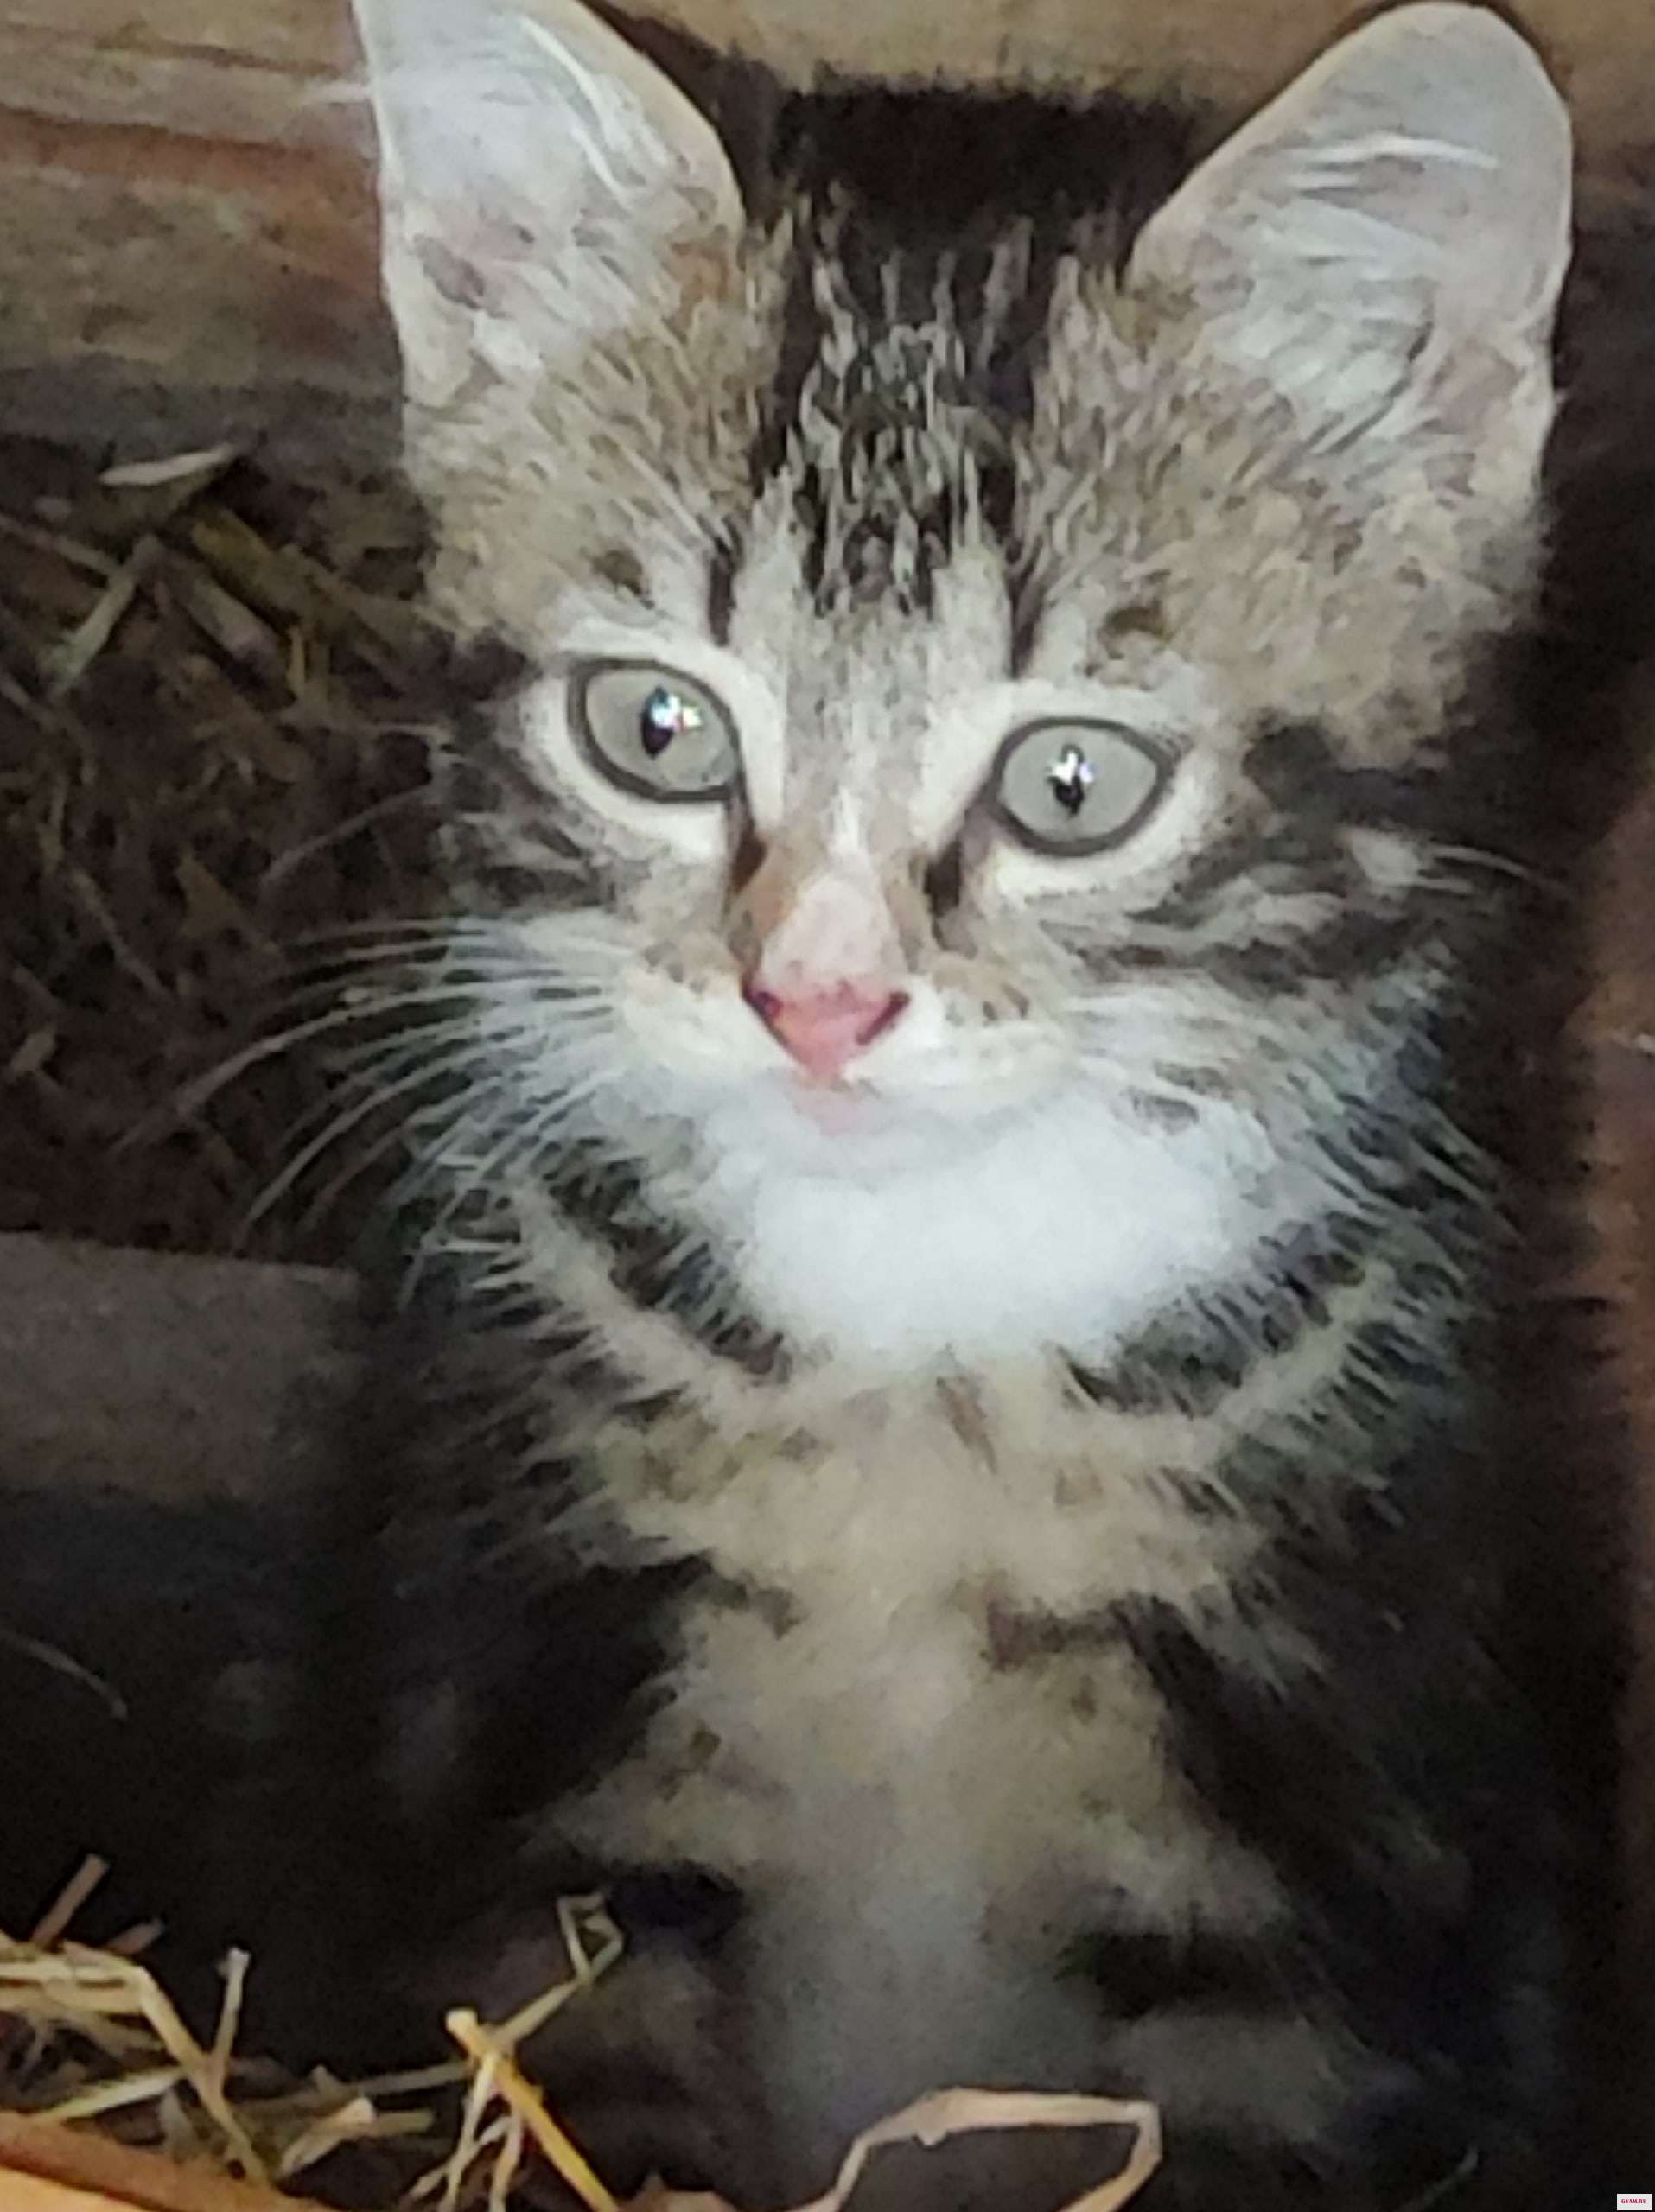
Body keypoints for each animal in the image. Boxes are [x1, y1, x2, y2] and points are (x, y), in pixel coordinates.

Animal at [284, 1, 1631, 2204]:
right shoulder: (523, 1690)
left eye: (1072, 783)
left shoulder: (1326, 1781)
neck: (914, 1326)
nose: (817, 1002)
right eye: (654, 726)